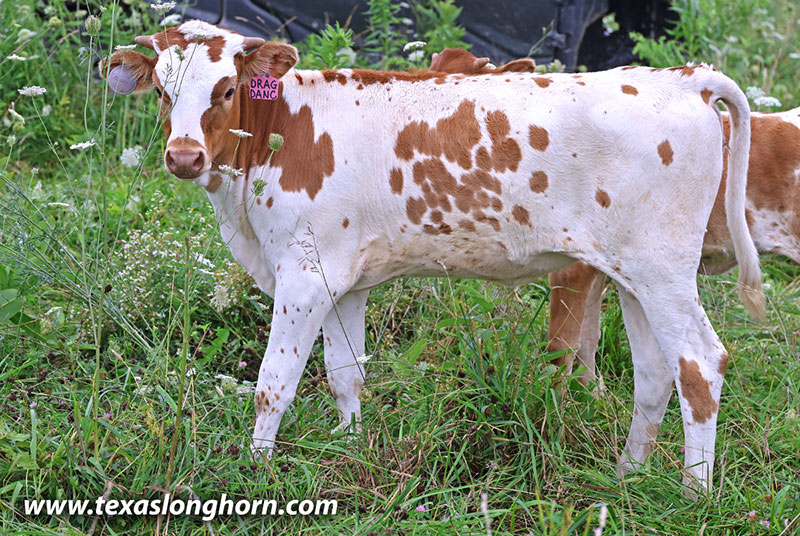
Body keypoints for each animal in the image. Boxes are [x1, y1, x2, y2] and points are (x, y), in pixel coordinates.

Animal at [103, 20, 764, 494]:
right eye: (161, 91)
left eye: (226, 90)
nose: (183, 156)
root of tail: (683, 76)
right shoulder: (344, 281)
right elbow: (346, 374)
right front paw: (352, 450)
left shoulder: (304, 278)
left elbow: (273, 385)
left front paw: (255, 470)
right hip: (631, 275)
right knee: (654, 373)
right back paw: (629, 474)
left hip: (662, 272)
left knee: (700, 364)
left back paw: (693, 492)